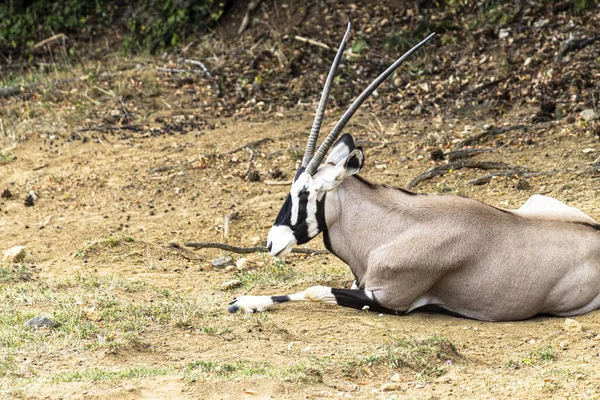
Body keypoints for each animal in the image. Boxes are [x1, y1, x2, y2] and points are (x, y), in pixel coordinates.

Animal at [226, 22, 600, 322]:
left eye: (305, 193)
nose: (272, 243)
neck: (394, 230)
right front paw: (243, 302)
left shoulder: (389, 299)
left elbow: (315, 290)